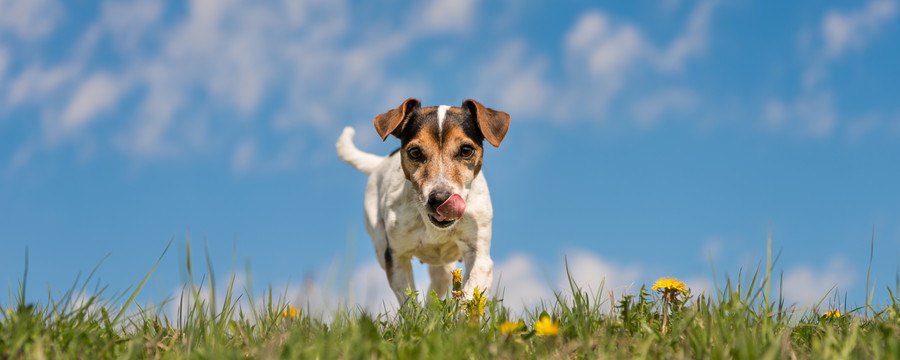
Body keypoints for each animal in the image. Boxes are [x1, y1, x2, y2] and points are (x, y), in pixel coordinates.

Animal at [336, 98, 510, 304]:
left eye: (466, 150)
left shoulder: (479, 255)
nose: (440, 199)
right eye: (415, 152)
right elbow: (409, 302)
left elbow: (469, 296)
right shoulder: (396, 257)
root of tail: (380, 163)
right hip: (379, 241)